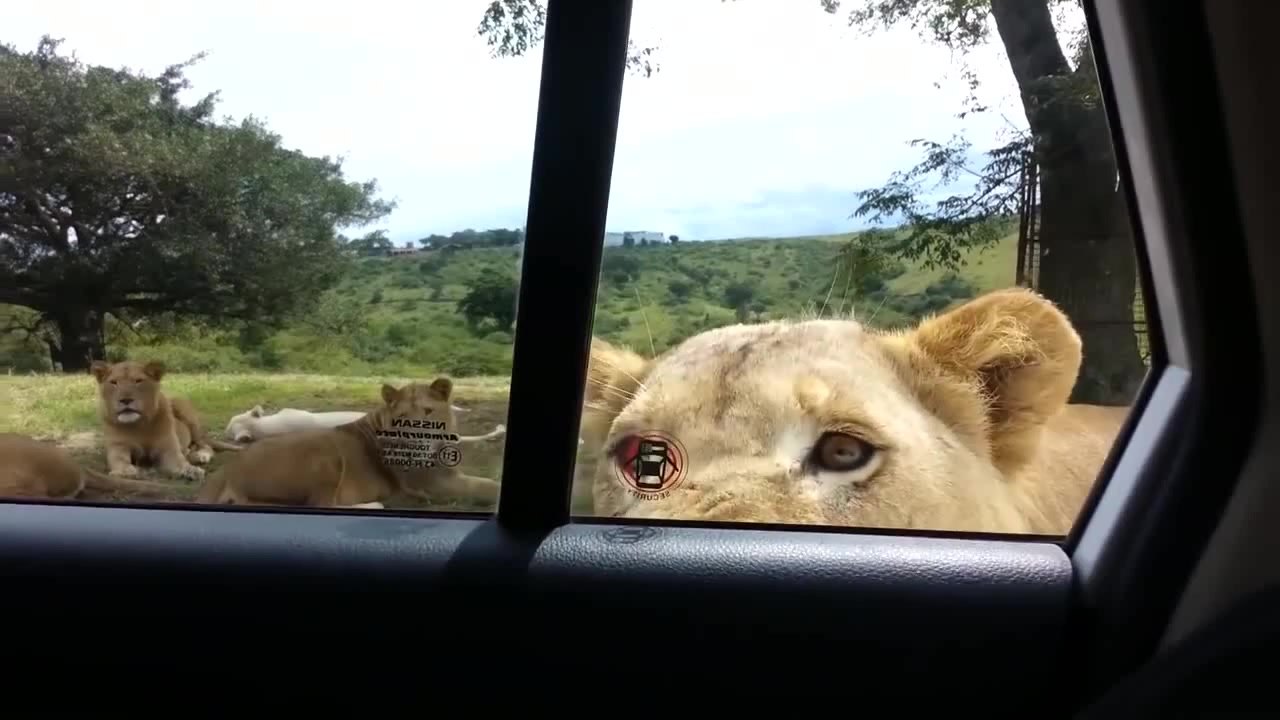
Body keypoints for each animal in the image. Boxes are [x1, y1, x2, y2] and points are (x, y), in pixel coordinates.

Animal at [90, 358, 241, 481]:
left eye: (138, 381)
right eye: (114, 382)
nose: (125, 400)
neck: (138, 425)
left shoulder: (168, 449)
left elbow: (180, 462)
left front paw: (192, 470)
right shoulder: (118, 447)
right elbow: (119, 461)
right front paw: (125, 471)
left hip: (184, 409)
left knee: (205, 444)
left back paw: (200, 456)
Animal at [197, 376, 501, 504]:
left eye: (428, 412)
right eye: (402, 417)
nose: (418, 441)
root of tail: (226, 472)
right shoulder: (435, 483)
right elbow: (486, 487)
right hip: (326, 459)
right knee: (323, 505)